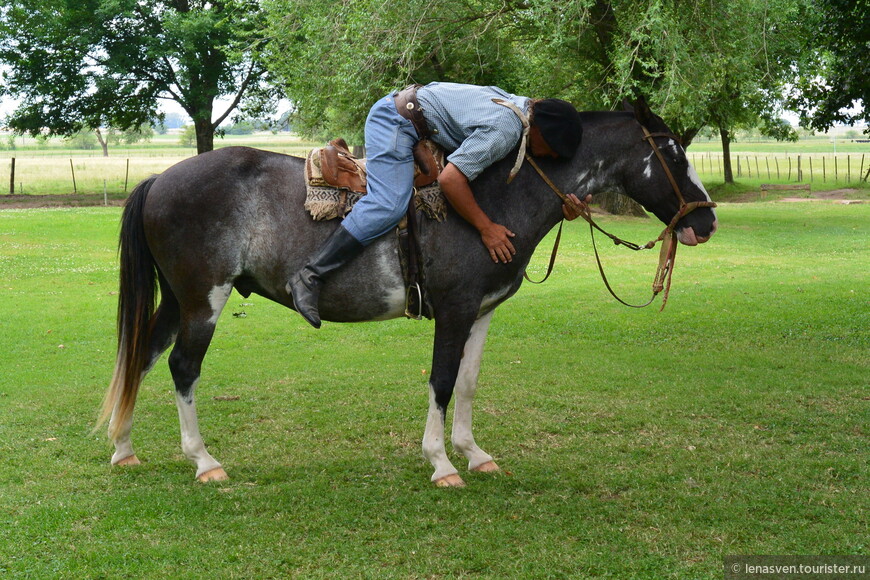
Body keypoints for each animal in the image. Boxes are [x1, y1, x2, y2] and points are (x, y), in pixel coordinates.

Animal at [99, 99, 720, 484]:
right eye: (672, 153)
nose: (706, 221)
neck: (492, 200)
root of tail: (160, 179)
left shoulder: (481, 312)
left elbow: (467, 383)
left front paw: (475, 454)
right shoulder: (454, 309)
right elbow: (441, 381)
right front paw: (441, 463)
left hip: (178, 300)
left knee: (142, 356)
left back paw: (125, 449)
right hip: (204, 299)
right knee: (182, 367)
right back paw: (204, 461)